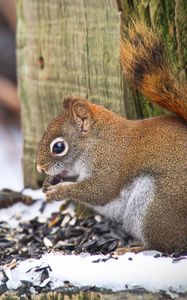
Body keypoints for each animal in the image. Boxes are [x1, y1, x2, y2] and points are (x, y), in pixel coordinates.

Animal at [35, 21, 186, 253]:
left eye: (58, 147)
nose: (39, 168)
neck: (98, 141)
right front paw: (51, 181)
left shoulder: (110, 164)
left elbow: (99, 190)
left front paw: (59, 191)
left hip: (156, 207)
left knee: (167, 245)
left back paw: (135, 248)